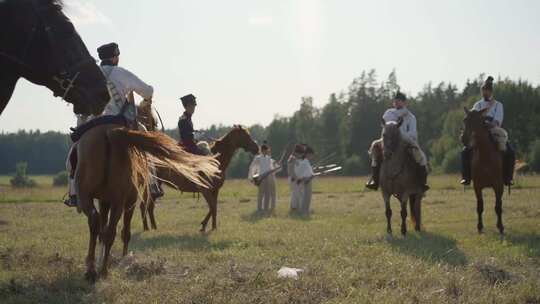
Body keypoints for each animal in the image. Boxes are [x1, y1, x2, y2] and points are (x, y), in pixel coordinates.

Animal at [76, 124, 219, 282]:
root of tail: (109, 133)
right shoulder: (110, 201)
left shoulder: (117, 200)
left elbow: (117, 230)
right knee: (107, 226)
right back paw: (99, 269)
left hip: (106, 199)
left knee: (102, 226)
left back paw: (96, 269)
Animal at [462, 108, 504, 236]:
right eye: (465, 120)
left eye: (477, 121)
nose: (464, 139)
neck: (485, 156)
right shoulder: (477, 186)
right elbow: (480, 206)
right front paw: (479, 227)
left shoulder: (498, 185)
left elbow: (498, 206)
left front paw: (500, 226)